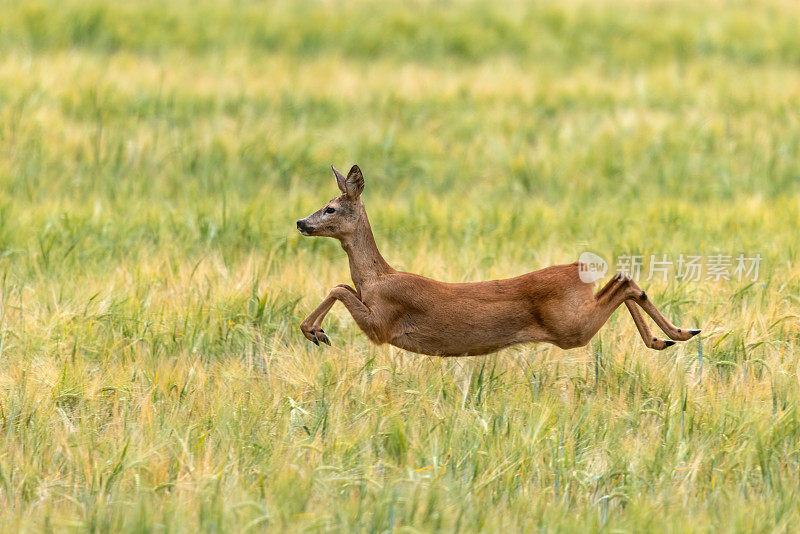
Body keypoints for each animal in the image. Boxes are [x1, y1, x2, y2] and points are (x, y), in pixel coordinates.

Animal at [296, 165, 700, 358]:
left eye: (330, 208)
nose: (301, 222)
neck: (376, 278)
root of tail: (578, 270)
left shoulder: (381, 325)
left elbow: (338, 287)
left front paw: (315, 332)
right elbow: (342, 284)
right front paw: (315, 330)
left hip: (571, 326)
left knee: (624, 283)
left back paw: (678, 334)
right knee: (622, 279)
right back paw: (671, 337)